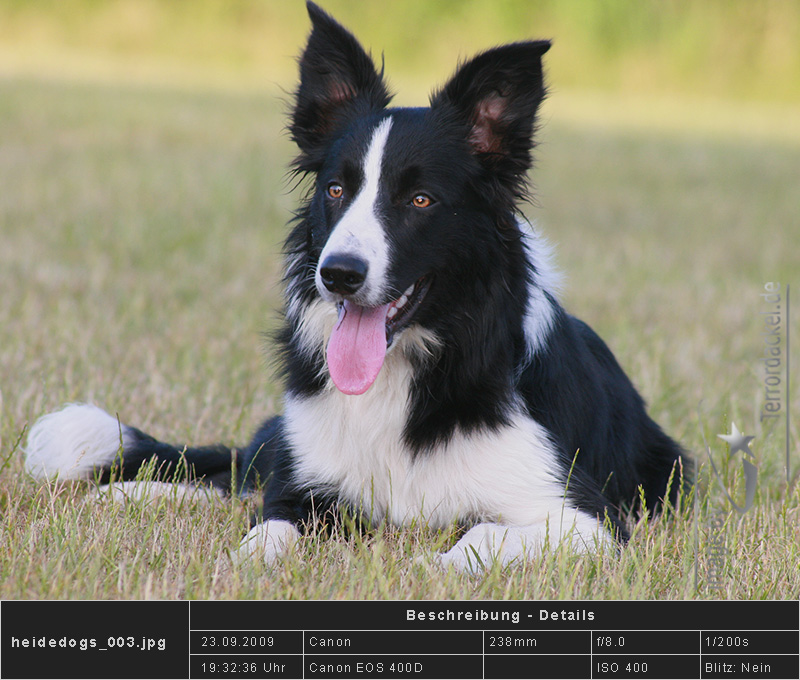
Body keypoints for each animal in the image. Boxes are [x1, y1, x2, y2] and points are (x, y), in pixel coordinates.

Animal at [25, 2, 692, 572]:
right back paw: (133, 494)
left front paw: (431, 568)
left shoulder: (584, 517)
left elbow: (479, 536)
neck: (408, 375)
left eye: (420, 200)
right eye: (336, 189)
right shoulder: (306, 487)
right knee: (239, 476)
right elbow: (267, 528)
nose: (339, 274)